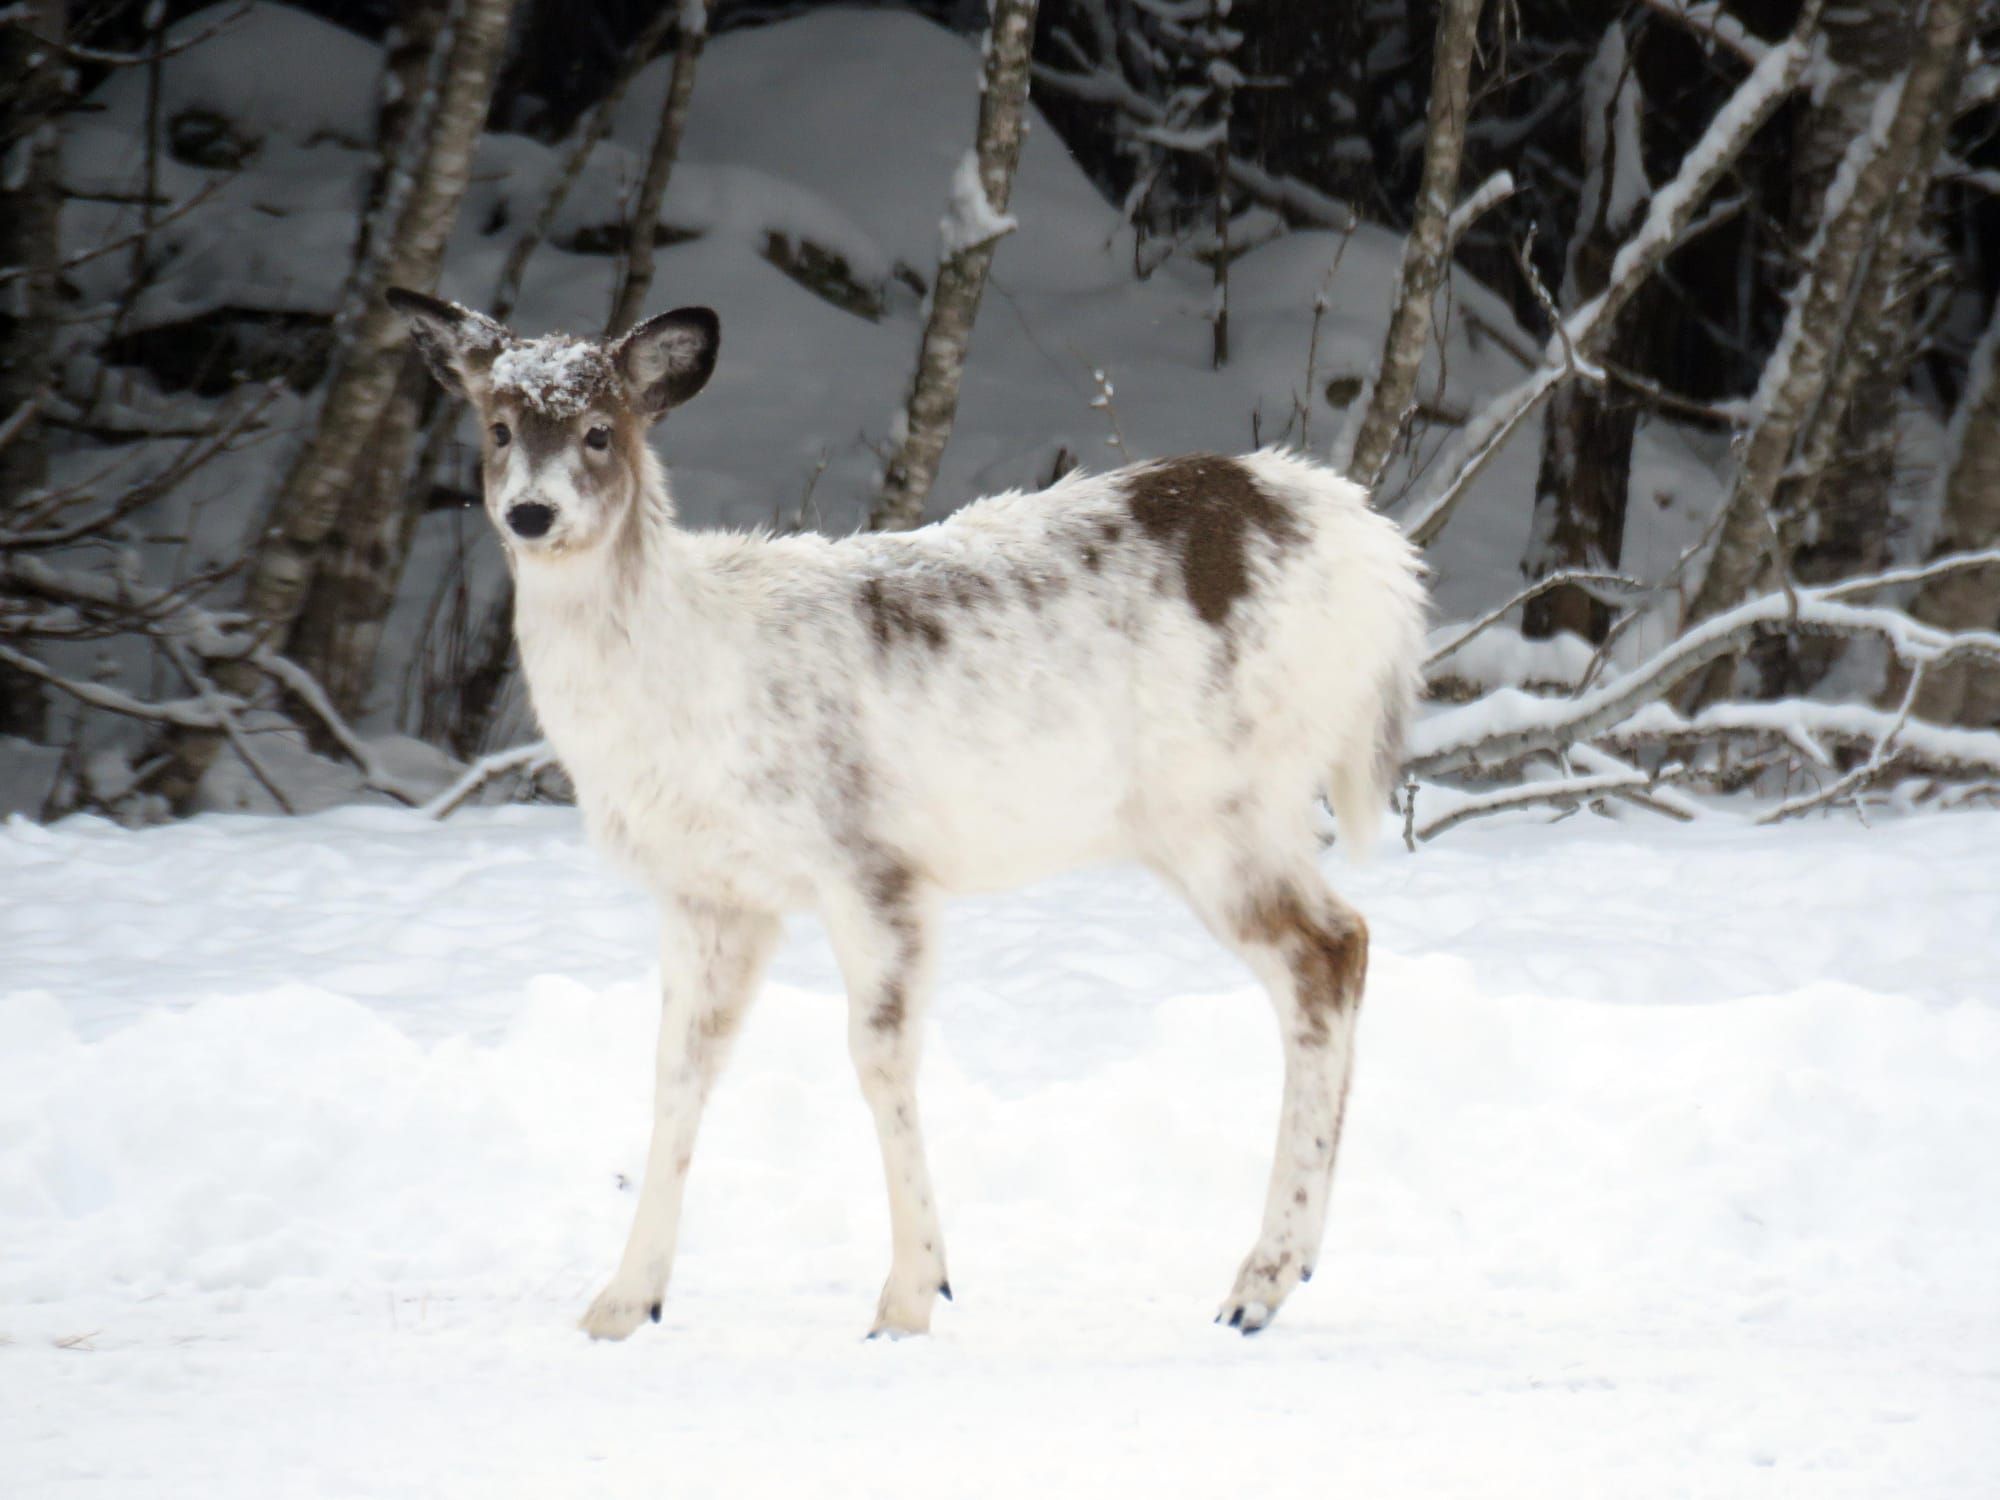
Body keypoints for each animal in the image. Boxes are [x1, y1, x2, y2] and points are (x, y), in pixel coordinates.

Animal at [387, 287, 1427, 1340]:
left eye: (601, 431)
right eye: (497, 427)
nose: (532, 512)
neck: (685, 676)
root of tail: (1382, 559)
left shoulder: (867, 856)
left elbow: (880, 1061)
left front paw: (911, 1294)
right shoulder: (714, 891)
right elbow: (678, 1072)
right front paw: (623, 1301)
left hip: (1221, 798)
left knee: (1326, 952)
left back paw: (1260, 1281)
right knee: (1340, 947)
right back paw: (1278, 1271)